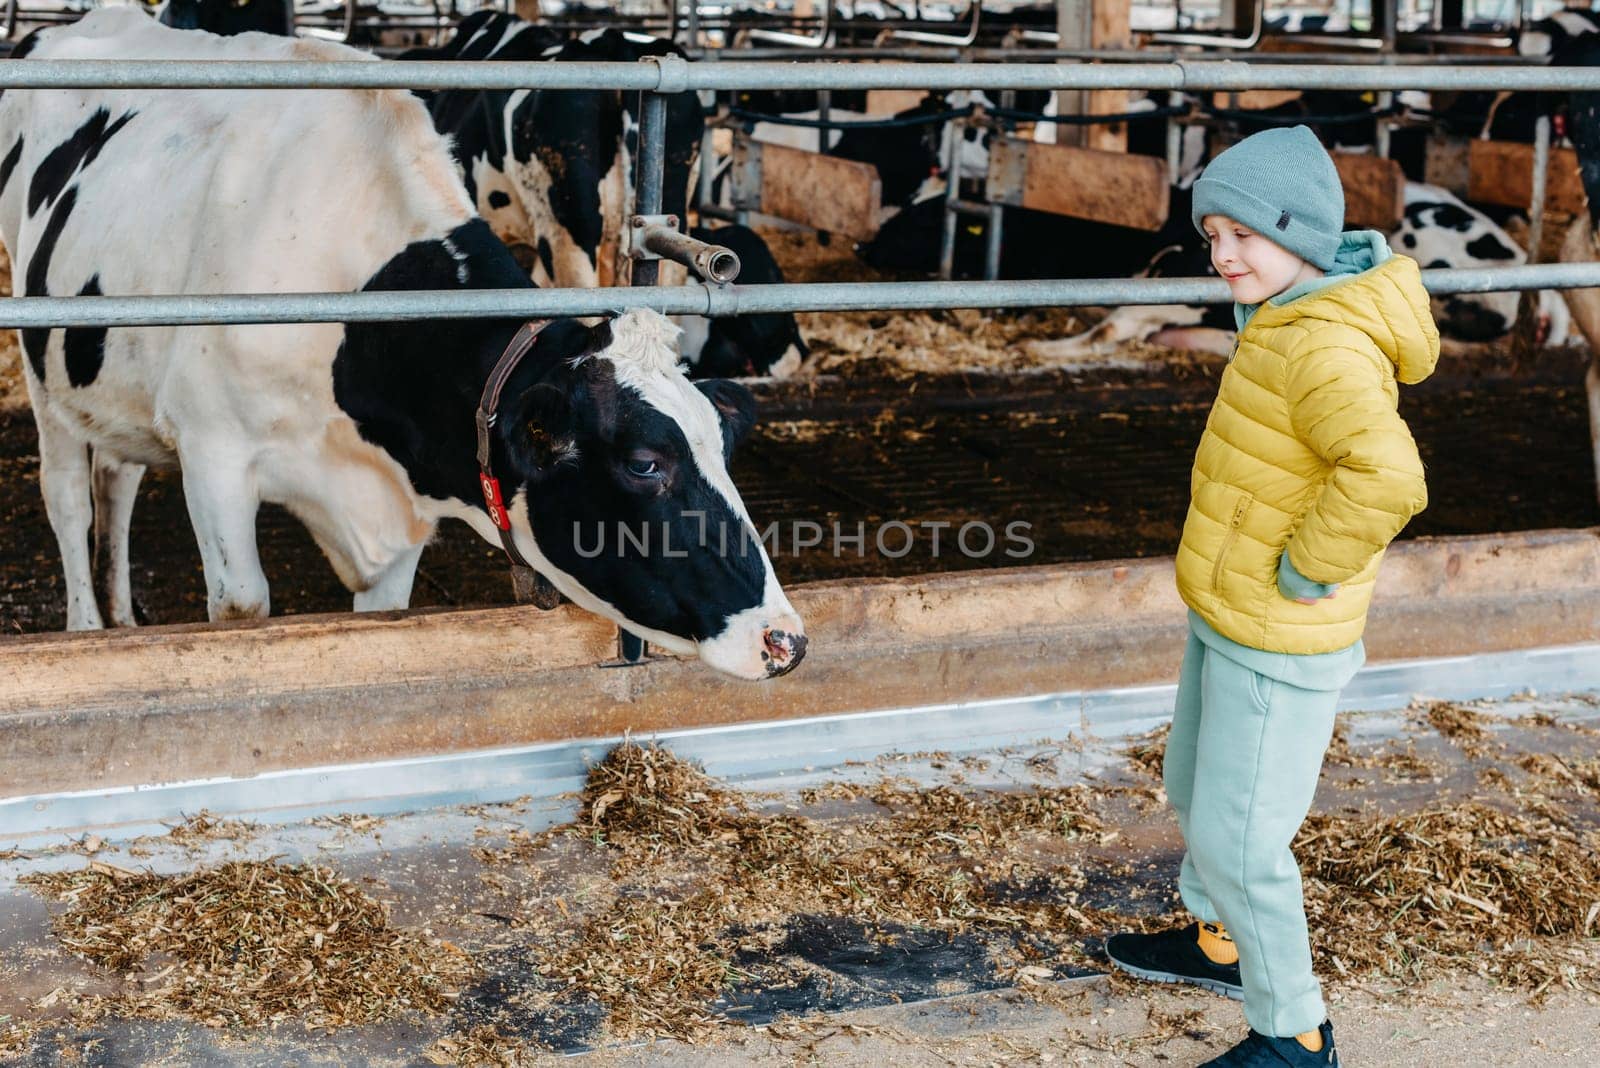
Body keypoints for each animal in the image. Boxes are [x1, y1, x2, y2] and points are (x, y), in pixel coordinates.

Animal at [0, 12, 800, 681]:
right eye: (644, 463)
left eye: (723, 446)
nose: (786, 639)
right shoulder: (213, 453)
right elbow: (242, 609)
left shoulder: (401, 494)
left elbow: (381, 616)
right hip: (44, 366)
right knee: (69, 500)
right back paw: (85, 627)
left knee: (117, 480)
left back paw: (122, 617)